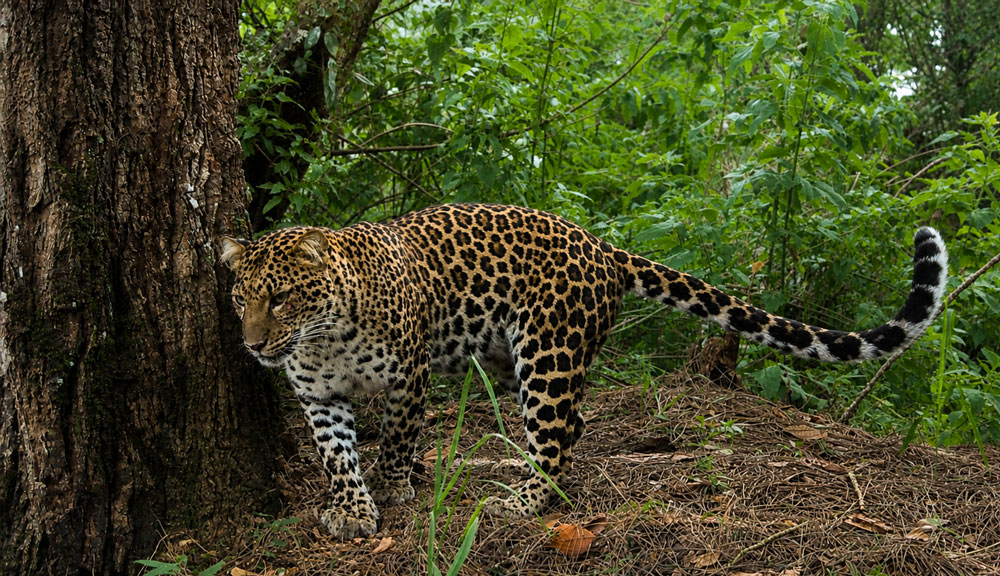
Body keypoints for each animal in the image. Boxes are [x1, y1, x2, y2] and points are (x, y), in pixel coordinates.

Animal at [219, 203, 948, 539]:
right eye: (239, 297)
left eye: (281, 297)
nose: (252, 346)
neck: (322, 341)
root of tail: (600, 244)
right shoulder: (318, 397)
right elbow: (336, 457)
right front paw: (352, 510)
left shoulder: (408, 376)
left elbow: (397, 439)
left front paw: (395, 488)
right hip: (518, 358)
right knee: (570, 424)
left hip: (547, 349)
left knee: (556, 436)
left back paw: (520, 500)